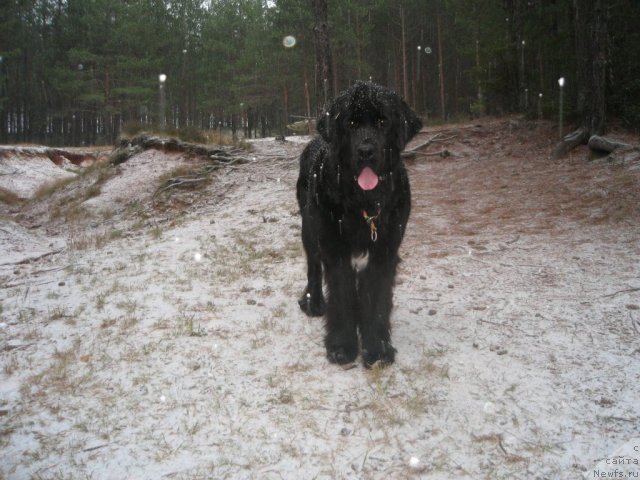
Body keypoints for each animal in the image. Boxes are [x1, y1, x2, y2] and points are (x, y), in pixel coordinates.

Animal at [298, 82, 422, 368]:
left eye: (383, 122)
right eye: (351, 123)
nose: (366, 151)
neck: (363, 203)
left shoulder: (384, 252)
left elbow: (375, 300)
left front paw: (377, 349)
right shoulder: (335, 250)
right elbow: (342, 296)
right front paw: (342, 346)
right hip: (309, 228)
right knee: (313, 266)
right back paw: (313, 302)